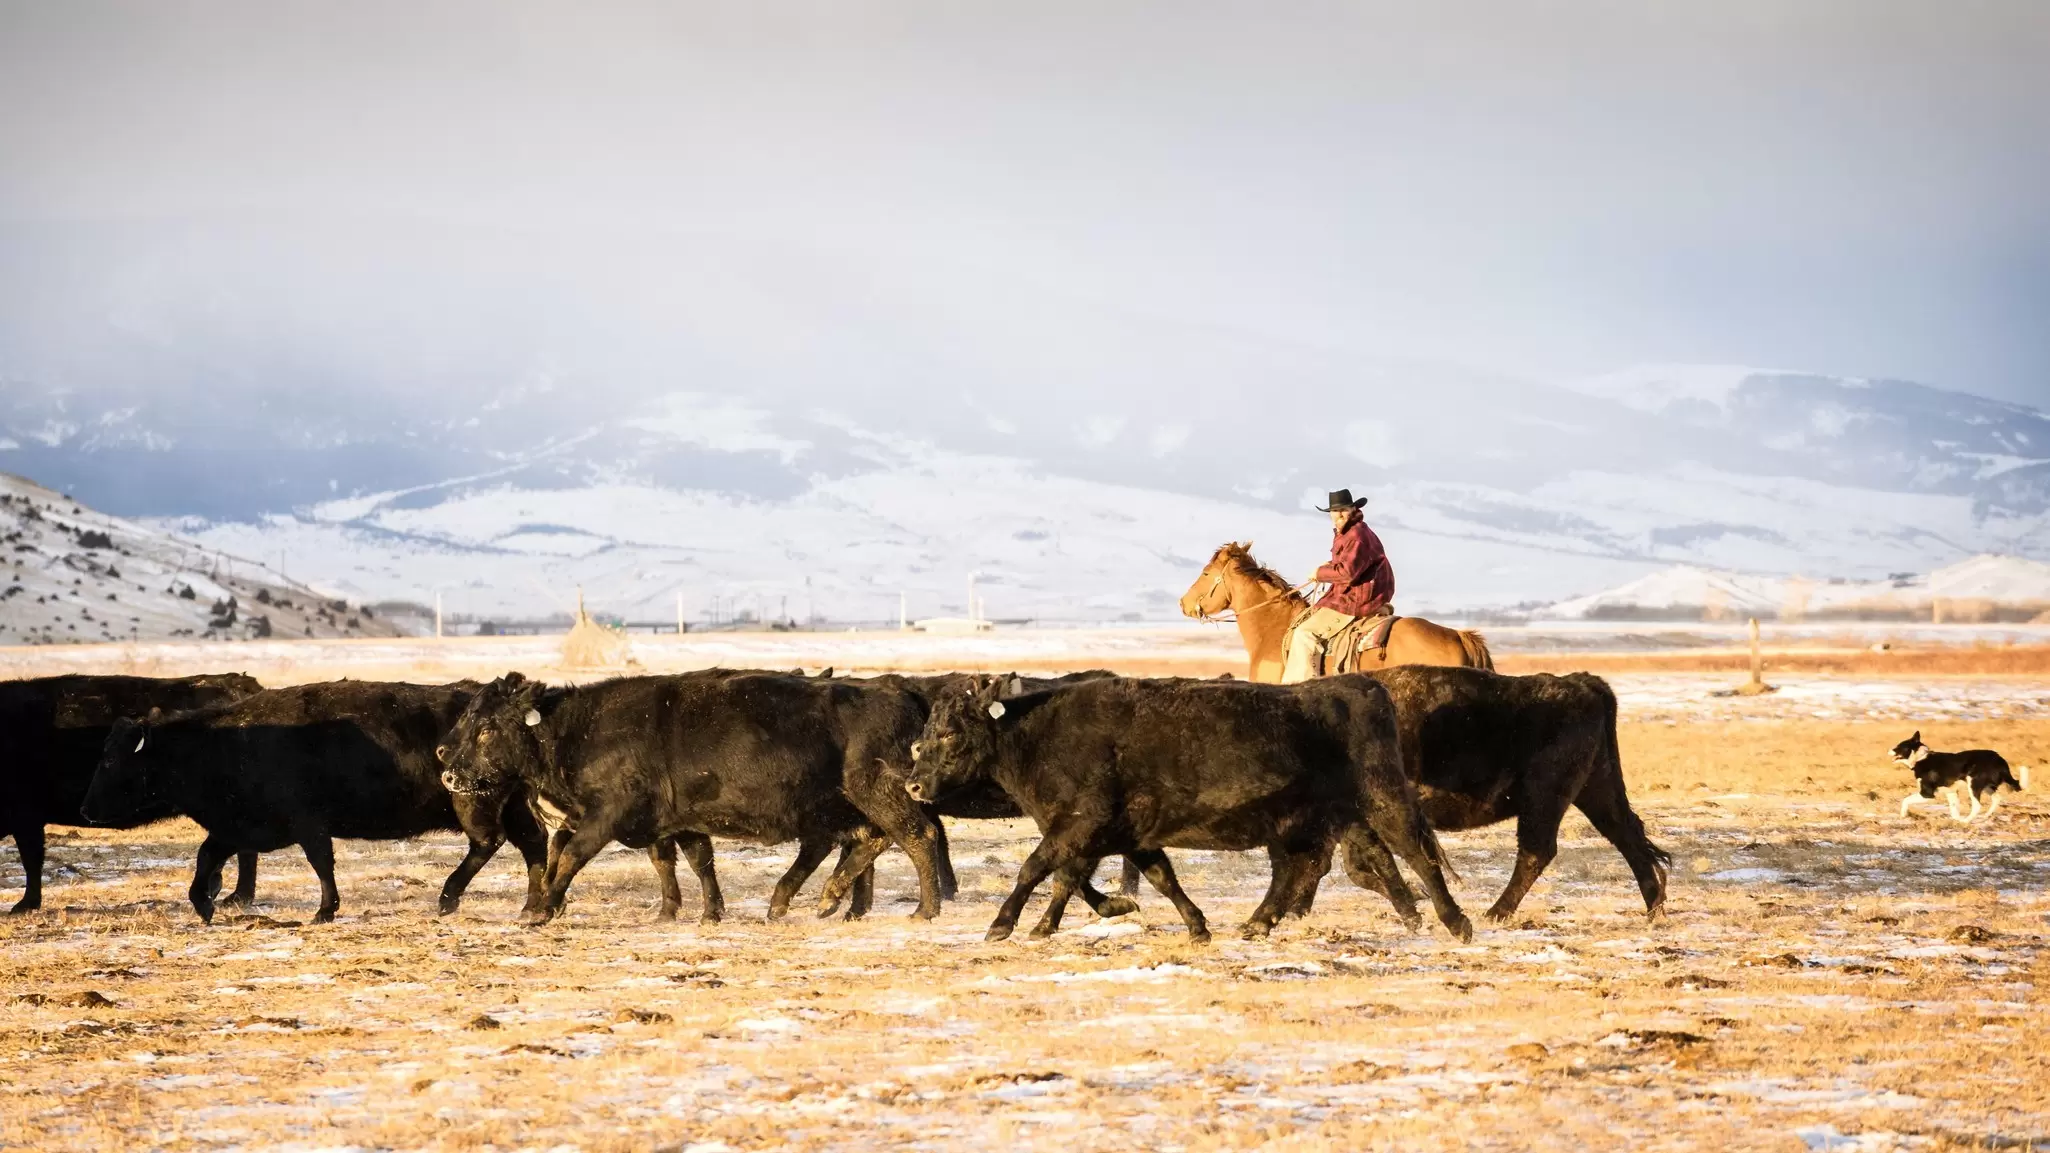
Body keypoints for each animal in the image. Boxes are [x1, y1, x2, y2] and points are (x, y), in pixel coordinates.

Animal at [80, 680, 551, 924]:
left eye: (113, 759)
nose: (86, 810)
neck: (223, 744)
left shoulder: (307, 825)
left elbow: (321, 863)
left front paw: (325, 911)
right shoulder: (237, 828)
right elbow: (206, 857)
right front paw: (205, 904)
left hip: (474, 806)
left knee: (488, 842)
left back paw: (448, 898)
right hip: (511, 807)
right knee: (531, 843)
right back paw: (532, 906)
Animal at [903, 673, 1469, 943]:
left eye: (948, 731)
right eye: (927, 728)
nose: (913, 784)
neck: (1036, 735)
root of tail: (1363, 685)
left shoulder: (1080, 825)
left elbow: (1038, 869)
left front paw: (1004, 925)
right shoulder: (1122, 834)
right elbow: (1149, 878)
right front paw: (1190, 924)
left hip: (1382, 798)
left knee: (1417, 854)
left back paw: (1455, 921)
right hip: (1301, 823)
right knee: (1297, 869)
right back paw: (1257, 923)